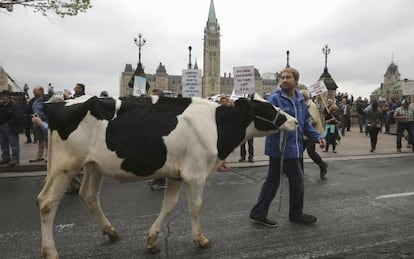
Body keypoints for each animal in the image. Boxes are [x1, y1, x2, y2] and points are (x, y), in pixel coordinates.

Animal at [38, 94, 298, 259]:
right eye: (267, 109)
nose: (295, 121)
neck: (216, 126)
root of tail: (59, 103)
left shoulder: (175, 173)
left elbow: (169, 206)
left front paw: (152, 240)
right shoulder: (195, 174)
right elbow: (195, 206)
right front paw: (201, 240)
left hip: (93, 165)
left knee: (89, 195)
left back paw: (111, 232)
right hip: (65, 164)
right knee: (47, 201)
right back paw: (50, 251)